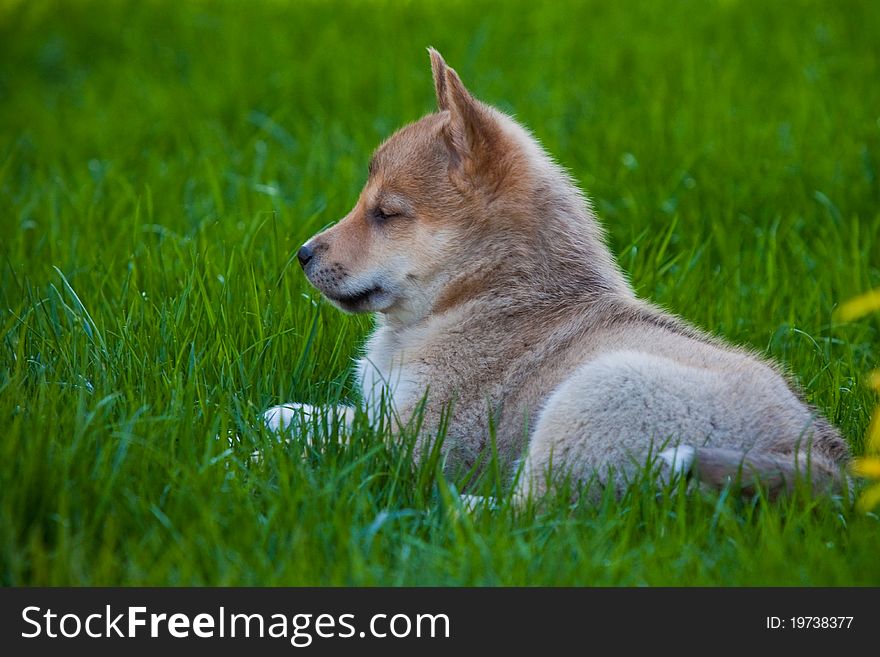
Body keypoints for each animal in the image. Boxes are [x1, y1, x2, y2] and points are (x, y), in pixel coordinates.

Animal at [264, 48, 848, 500]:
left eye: (386, 213)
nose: (302, 254)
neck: (491, 293)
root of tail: (821, 461)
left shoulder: (418, 437)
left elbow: (334, 444)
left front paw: (251, 454)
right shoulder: (383, 410)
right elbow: (313, 417)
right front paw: (280, 414)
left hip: (600, 395)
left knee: (528, 513)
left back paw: (452, 509)